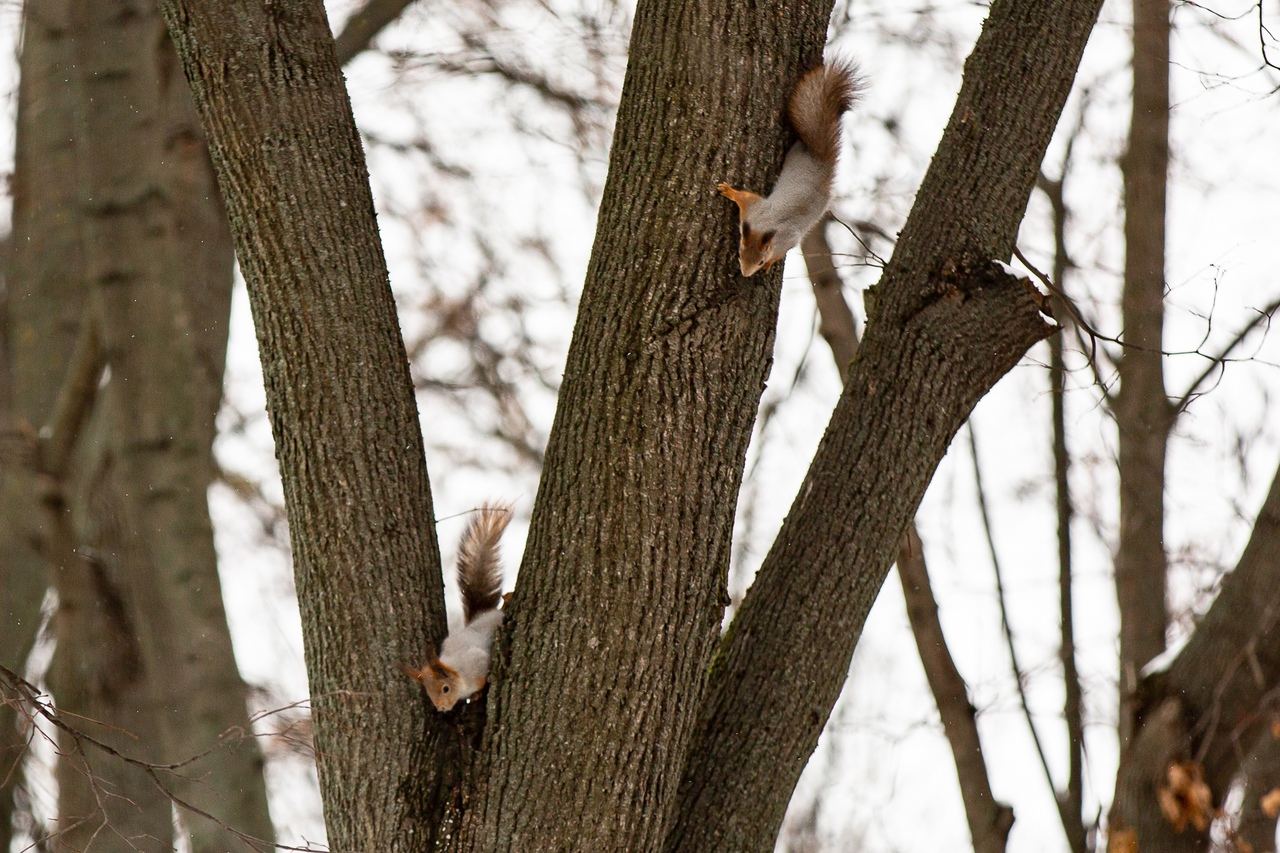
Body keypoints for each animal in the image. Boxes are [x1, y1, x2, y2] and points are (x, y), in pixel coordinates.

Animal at [407, 504, 512, 712]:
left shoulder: (478, 662)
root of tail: (483, 615)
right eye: (429, 693)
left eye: (445, 688)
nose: (442, 708)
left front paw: (479, 690)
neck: (461, 676)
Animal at [716, 60, 865, 279]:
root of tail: (823, 166)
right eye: (740, 254)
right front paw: (728, 191)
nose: (746, 274)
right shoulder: (754, 212)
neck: (767, 226)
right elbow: (744, 198)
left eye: (760, 261)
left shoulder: (778, 230)